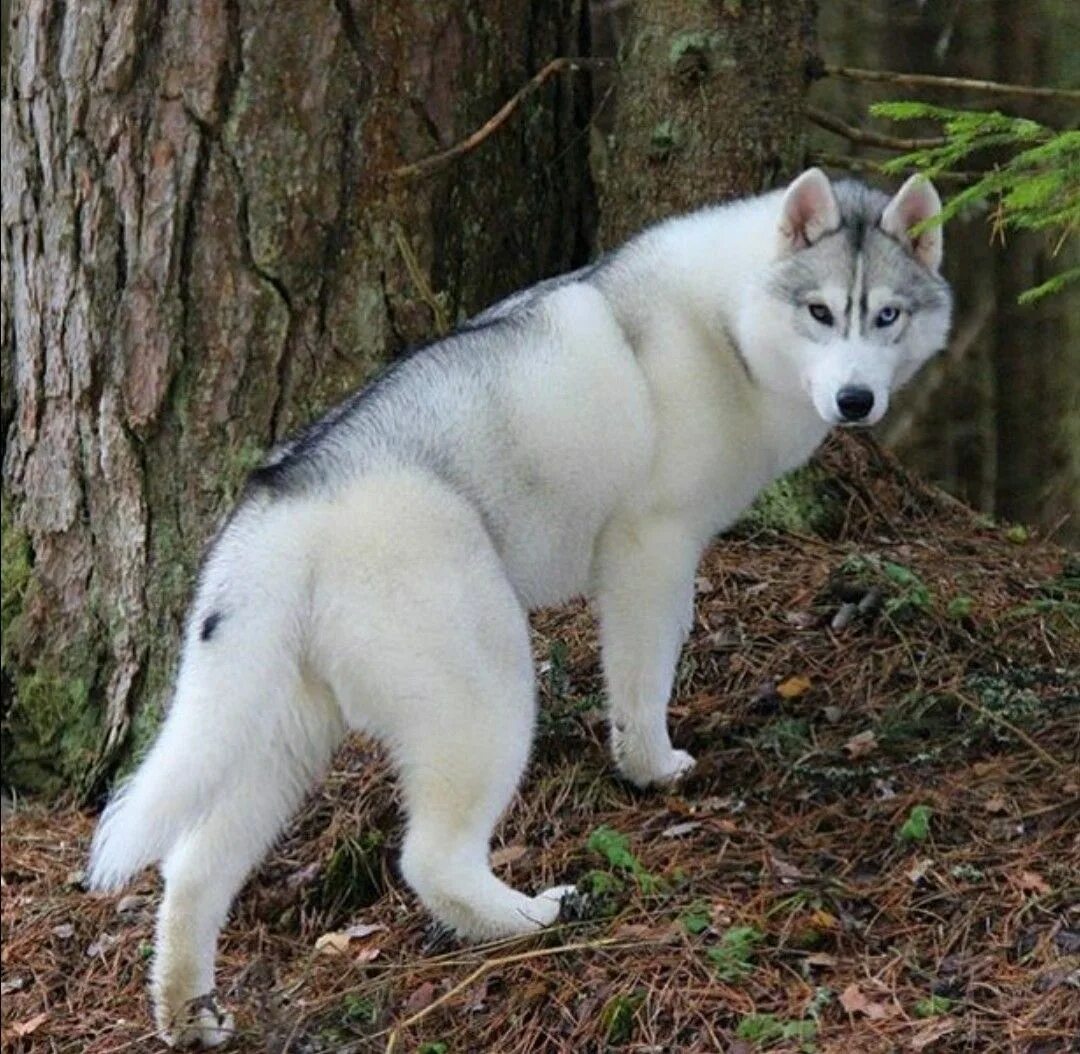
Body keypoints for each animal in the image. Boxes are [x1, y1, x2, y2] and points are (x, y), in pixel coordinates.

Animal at [92, 168, 954, 1041]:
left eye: (888, 315)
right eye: (820, 311)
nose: (856, 400)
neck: (727, 320)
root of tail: (288, 498)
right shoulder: (652, 551)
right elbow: (643, 679)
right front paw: (650, 767)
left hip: (282, 733)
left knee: (192, 869)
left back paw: (188, 1014)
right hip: (487, 690)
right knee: (429, 860)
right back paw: (531, 919)